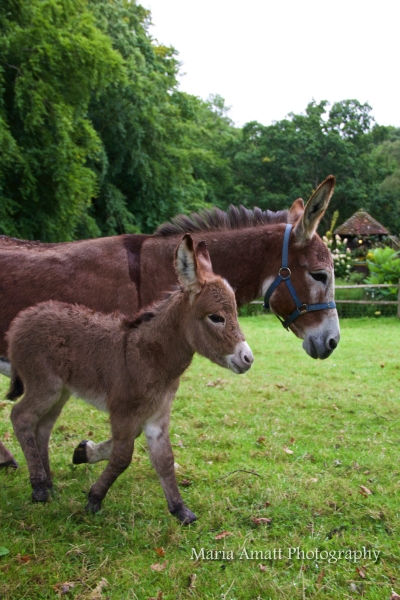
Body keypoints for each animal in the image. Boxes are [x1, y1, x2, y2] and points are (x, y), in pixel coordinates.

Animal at [7, 236, 253, 524]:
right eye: (216, 317)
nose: (248, 358)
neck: (151, 357)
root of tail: (22, 319)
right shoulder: (123, 413)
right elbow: (123, 457)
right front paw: (94, 499)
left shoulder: (157, 416)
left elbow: (164, 460)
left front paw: (181, 510)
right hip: (45, 385)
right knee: (21, 417)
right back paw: (38, 487)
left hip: (61, 392)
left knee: (42, 428)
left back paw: (48, 484)